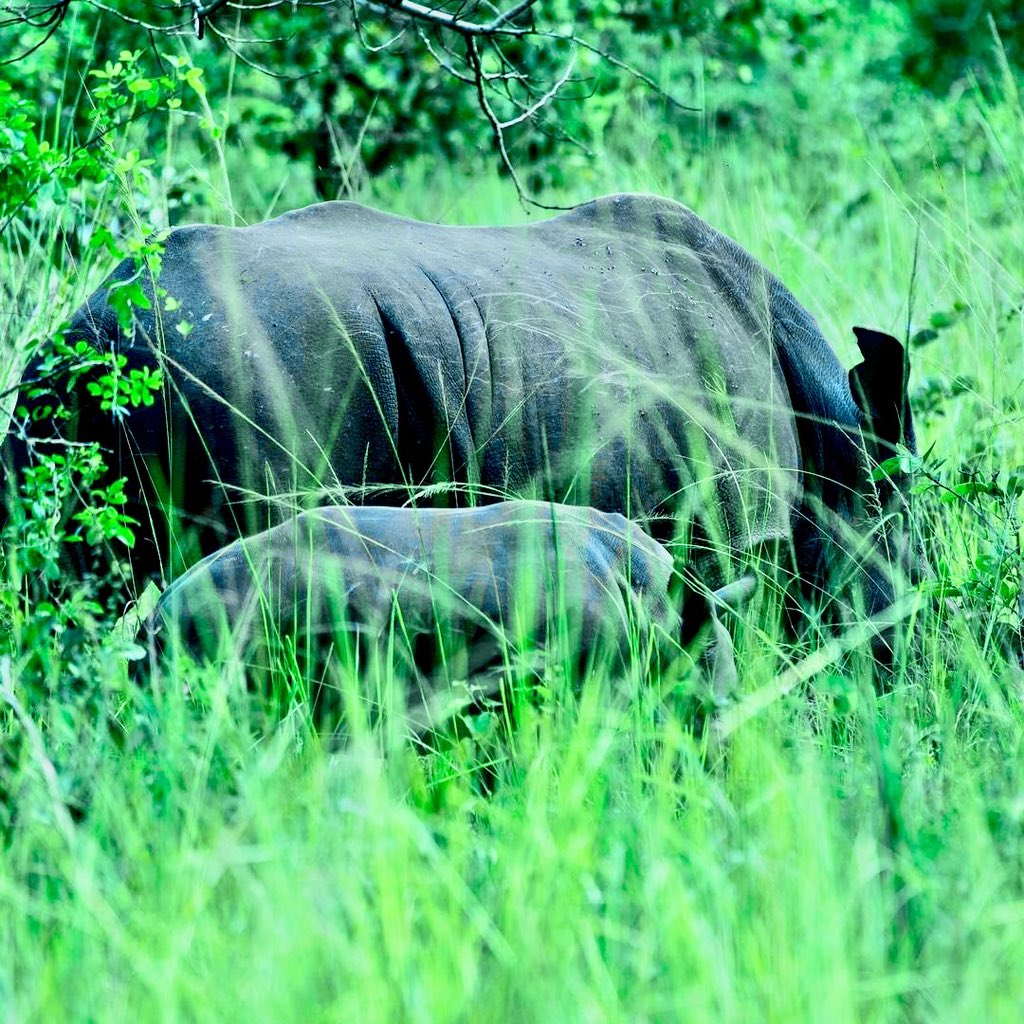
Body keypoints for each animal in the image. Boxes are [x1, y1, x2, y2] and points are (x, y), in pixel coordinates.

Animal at [4, 192, 915, 636]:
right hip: (253, 365)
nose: (897, 657)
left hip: (59, 391)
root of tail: (99, 331)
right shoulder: (731, 526)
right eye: (904, 550)